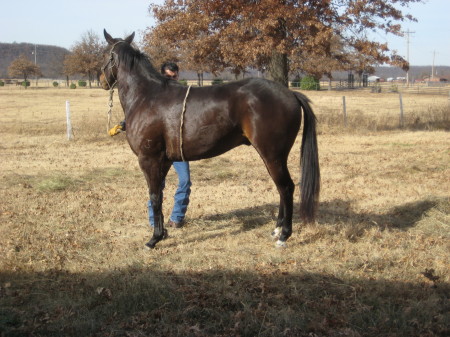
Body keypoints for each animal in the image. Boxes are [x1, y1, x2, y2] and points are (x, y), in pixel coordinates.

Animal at [102, 30, 320, 248]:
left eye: (105, 54)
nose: (102, 81)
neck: (147, 97)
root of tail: (290, 93)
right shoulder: (164, 161)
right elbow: (160, 195)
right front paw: (162, 233)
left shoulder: (149, 159)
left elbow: (155, 196)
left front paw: (154, 239)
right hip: (274, 157)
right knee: (281, 188)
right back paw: (276, 230)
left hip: (272, 155)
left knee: (286, 187)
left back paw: (284, 235)